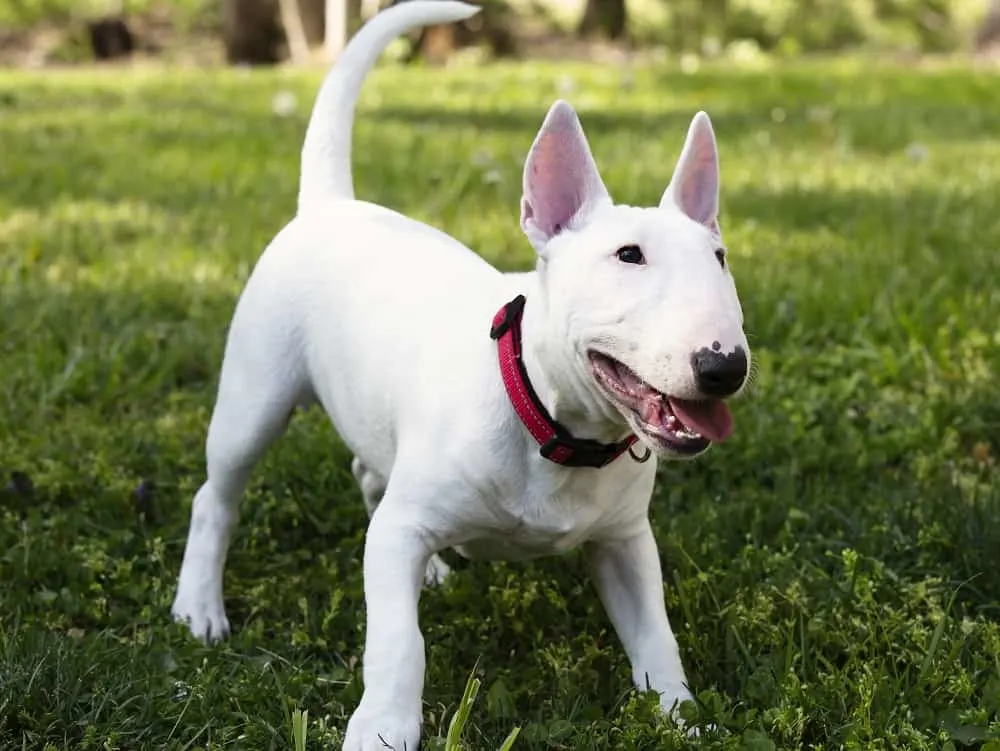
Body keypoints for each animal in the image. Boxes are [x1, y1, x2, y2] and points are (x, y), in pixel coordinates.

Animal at [172, 2, 752, 748]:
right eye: (628, 255)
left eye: (720, 258)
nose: (725, 366)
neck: (552, 424)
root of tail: (330, 203)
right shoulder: (395, 536)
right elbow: (399, 642)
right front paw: (382, 728)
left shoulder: (625, 542)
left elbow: (654, 632)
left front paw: (682, 715)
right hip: (255, 395)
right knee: (216, 495)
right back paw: (199, 606)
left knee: (368, 472)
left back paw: (436, 569)